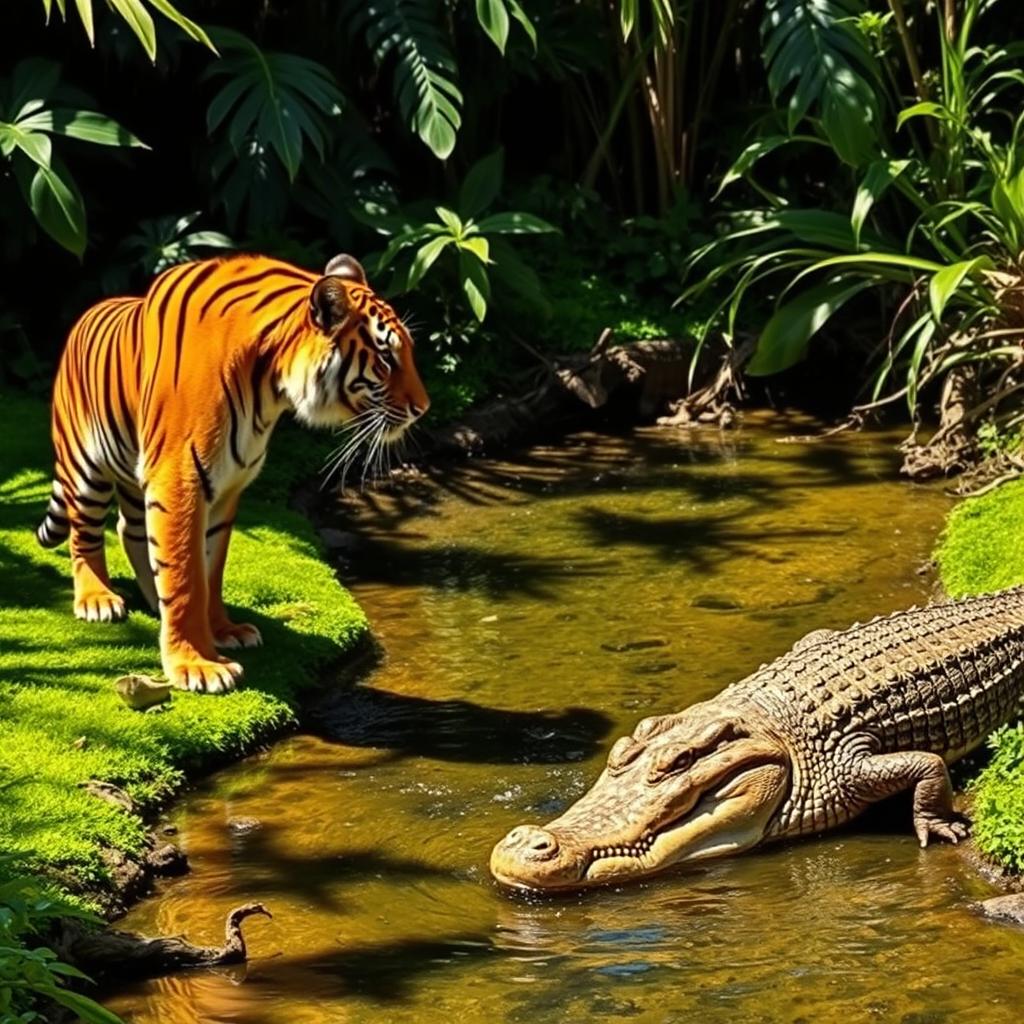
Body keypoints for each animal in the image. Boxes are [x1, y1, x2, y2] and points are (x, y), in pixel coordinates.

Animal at [36, 253, 429, 693]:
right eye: (386, 359)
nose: (423, 408)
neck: (270, 386)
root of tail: (83, 318)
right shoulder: (179, 481)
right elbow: (186, 576)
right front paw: (196, 664)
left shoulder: (224, 486)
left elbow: (209, 569)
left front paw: (223, 631)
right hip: (86, 466)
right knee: (83, 534)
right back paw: (97, 599)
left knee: (129, 529)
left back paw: (152, 600)